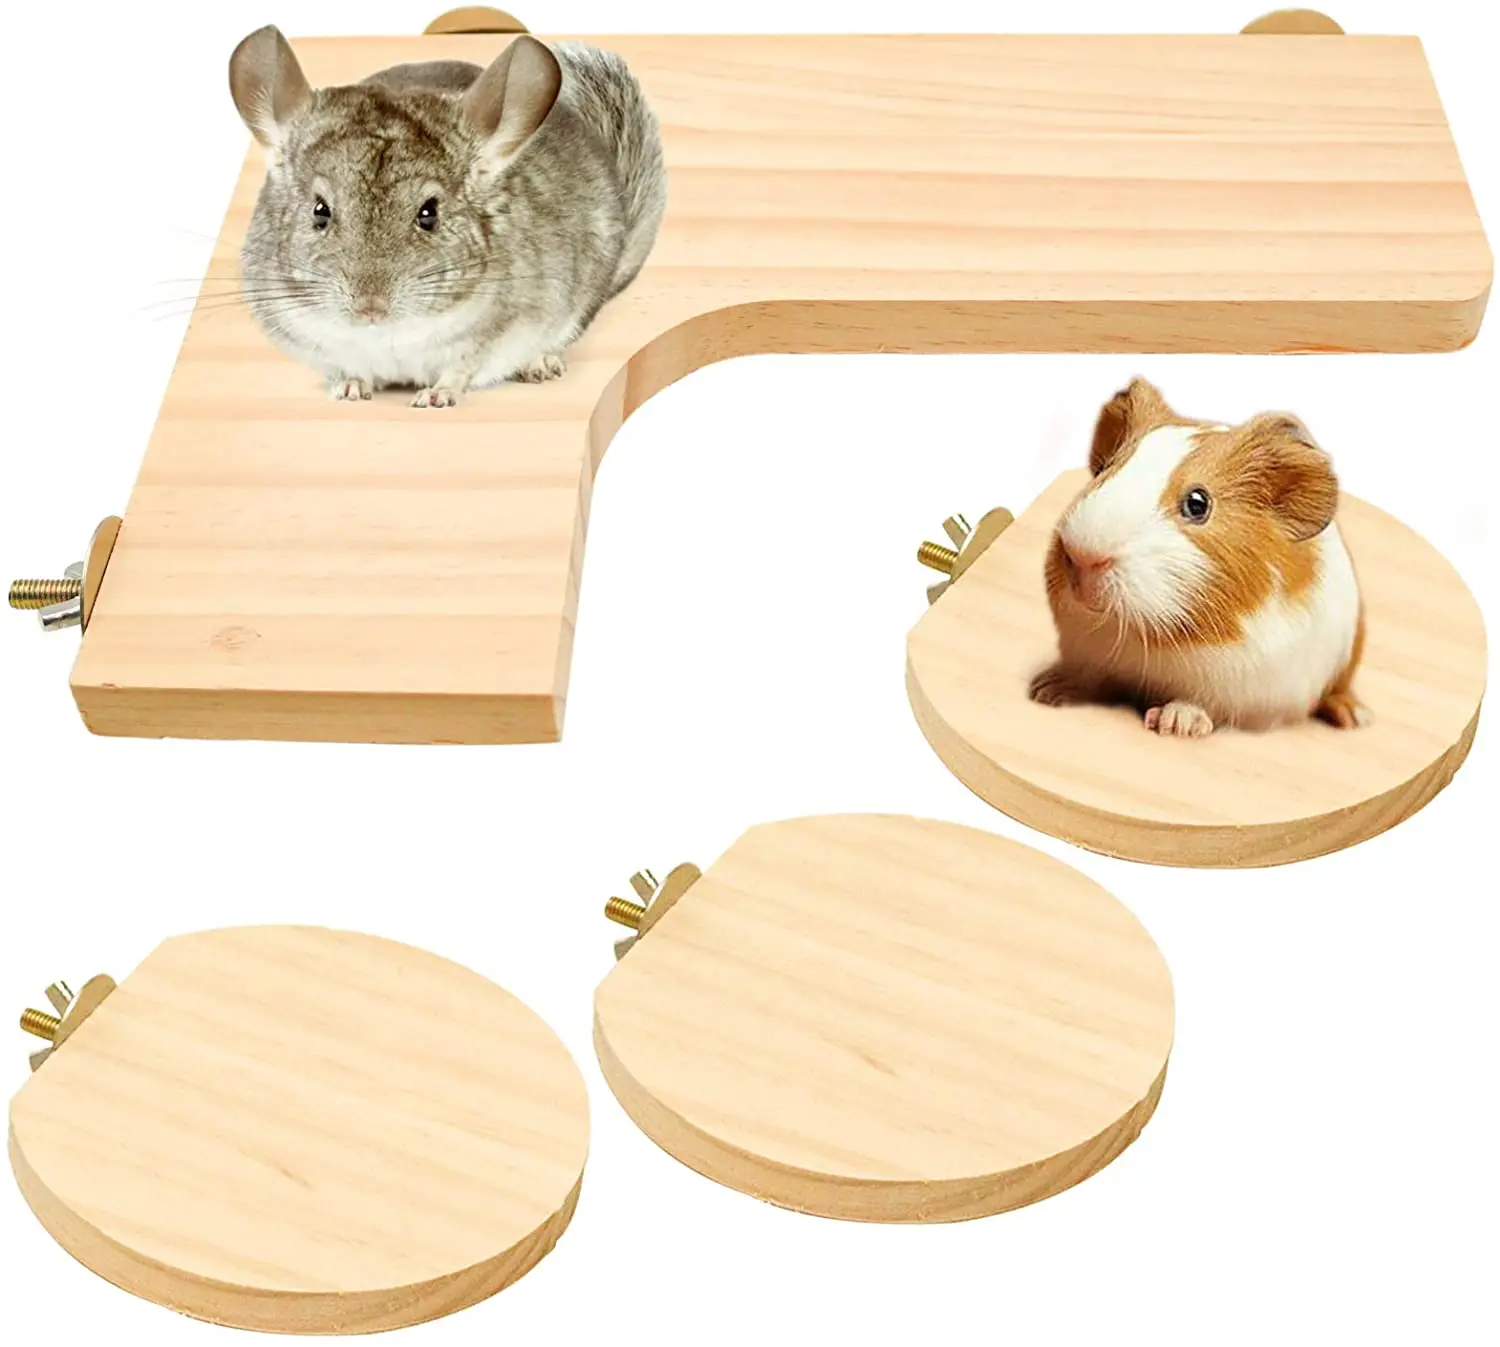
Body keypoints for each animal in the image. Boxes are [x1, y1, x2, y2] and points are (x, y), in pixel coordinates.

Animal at [227, 26, 666, 407]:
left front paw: (436, 397)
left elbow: (461, 369)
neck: (385, 335)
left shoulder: (502, 329)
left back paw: (539, 365)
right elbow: (345, 369)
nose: (371, 307)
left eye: (429, 214)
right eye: (320, 210)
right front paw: (350, 388)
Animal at [1028, 378, 1369, 738]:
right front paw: (1045, 690)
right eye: (1106, 469)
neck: (1144, 637)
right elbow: (1086, 678)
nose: (1083, 557)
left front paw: (1174, 724)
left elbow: (1197, 703)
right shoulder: (1091, 659)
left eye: (1197, 503)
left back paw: (1356, 719)